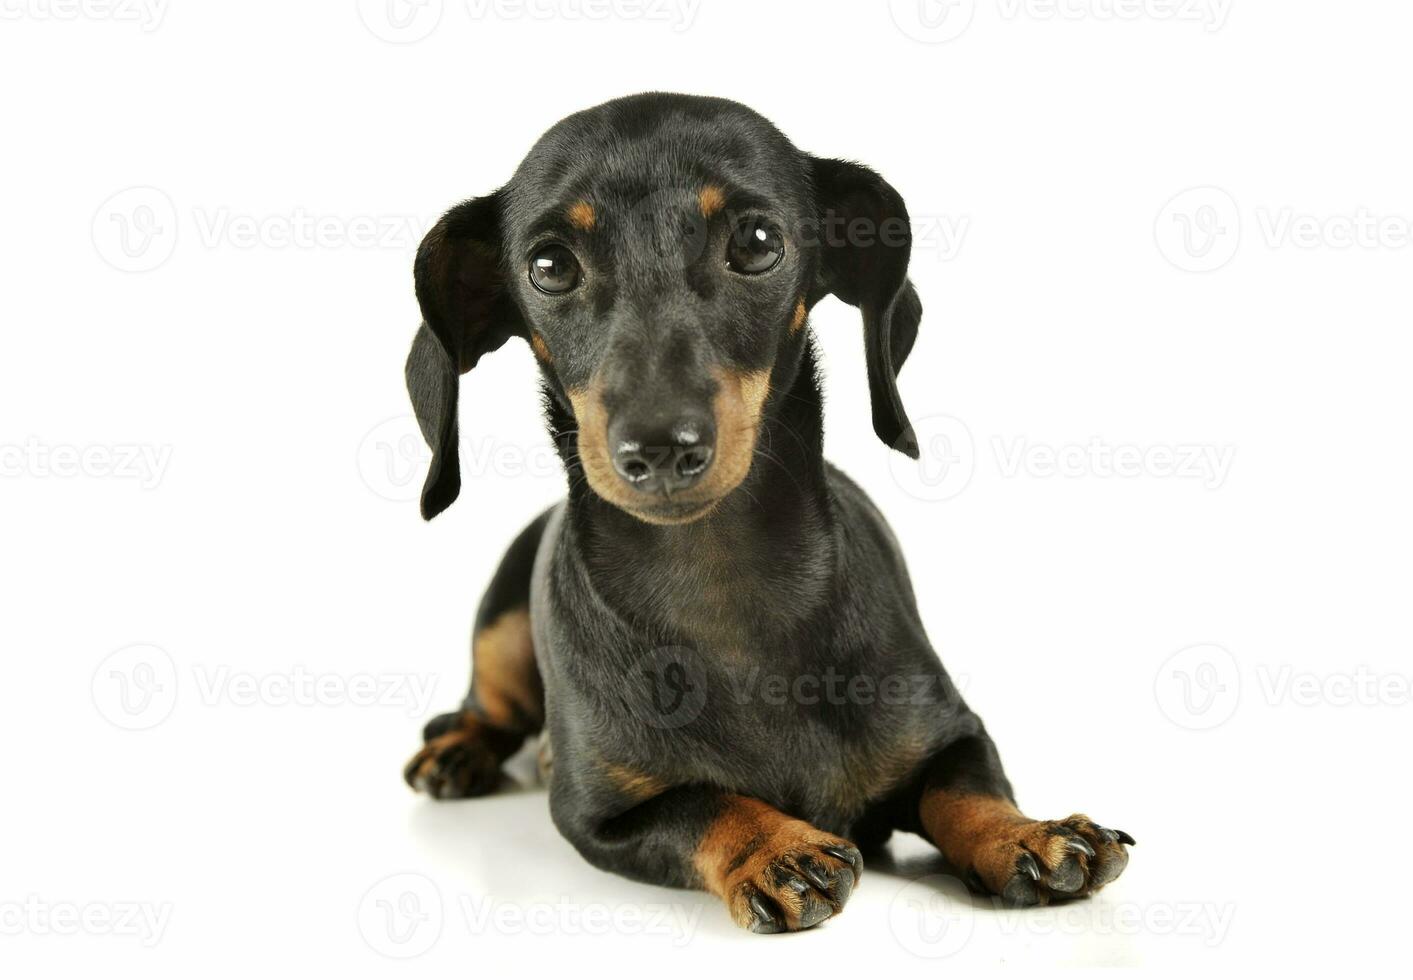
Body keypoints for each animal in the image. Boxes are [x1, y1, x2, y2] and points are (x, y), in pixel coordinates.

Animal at [404, 91, 1130, 937]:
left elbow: (964, 788)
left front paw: (1026, 835)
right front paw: (775, 847)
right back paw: (458, 749)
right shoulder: (598, 818)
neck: (722, 583)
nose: (658, 447)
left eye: (755, 243)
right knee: (486, 705)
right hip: (500, 630)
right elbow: (702, 802)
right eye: (549, 265)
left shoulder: (954, 733)